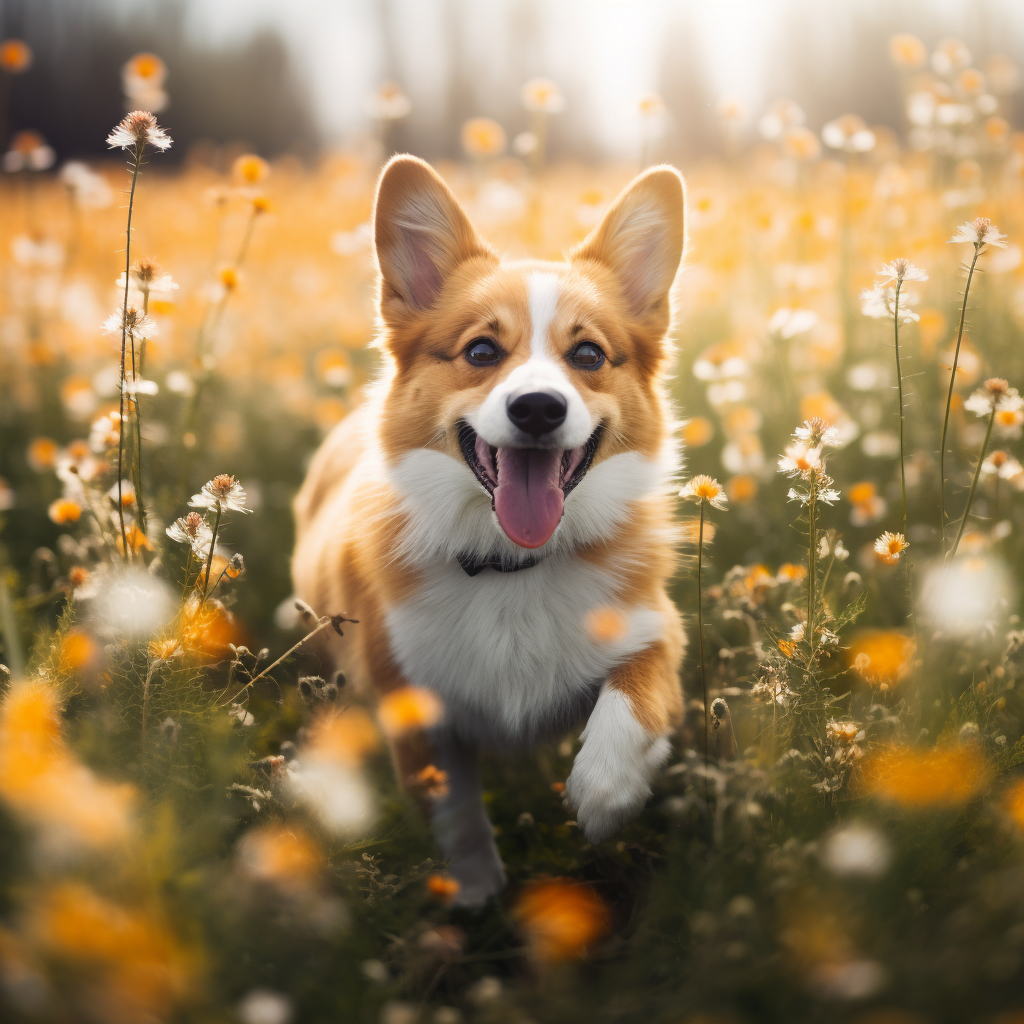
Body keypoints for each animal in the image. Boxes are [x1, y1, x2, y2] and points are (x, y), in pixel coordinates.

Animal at [292, 151, 684, 905]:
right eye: (479, 352)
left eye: (588, 356)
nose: (537, 408)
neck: (511, 564)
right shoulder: (416, 710)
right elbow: (455, 813)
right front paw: (477, 893)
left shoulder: (655, 629)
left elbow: (635, 696)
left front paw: (605, 793)